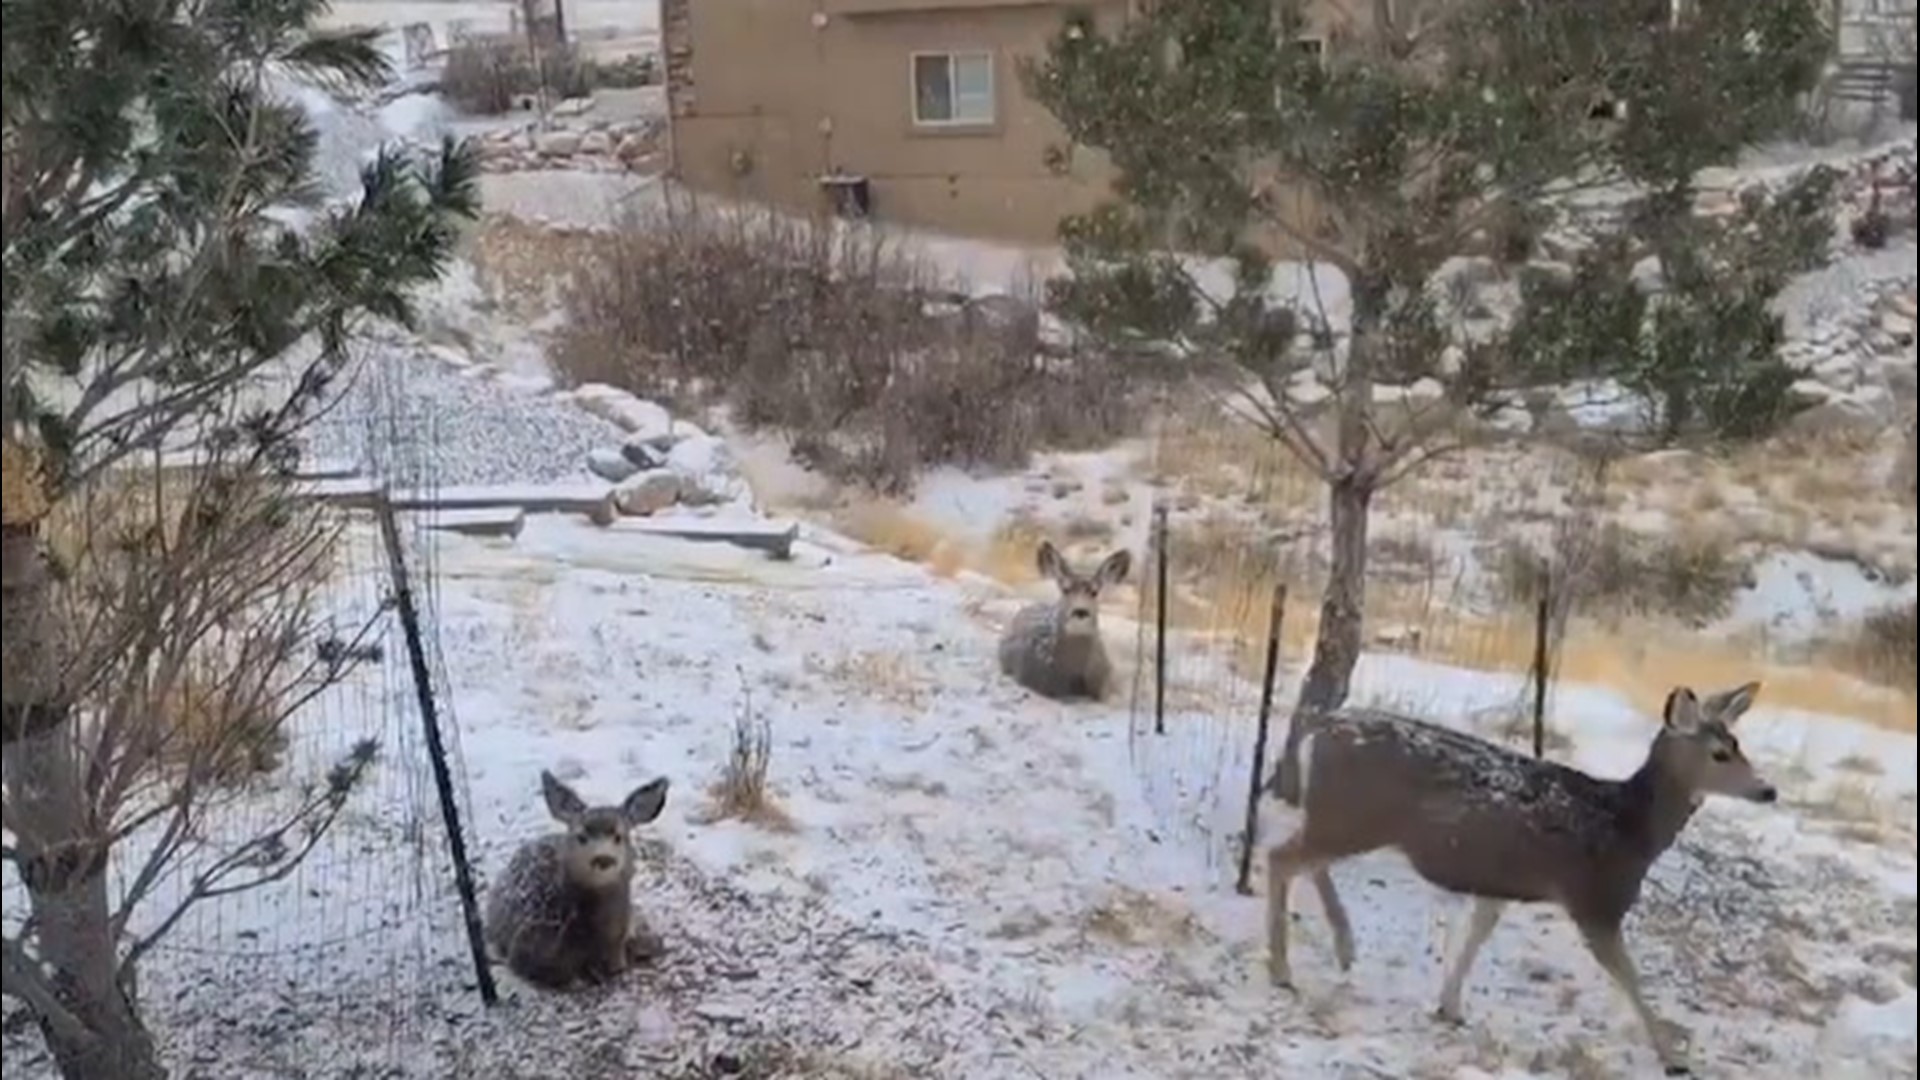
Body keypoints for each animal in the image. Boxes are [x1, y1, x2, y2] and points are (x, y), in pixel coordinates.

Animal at [1267, 676, 1774, 1068]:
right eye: (1719, 753)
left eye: (1738, 744)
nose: (1768, 791)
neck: (1629, 827)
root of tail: (1320, 729)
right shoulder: (1595, 898)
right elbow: (1629, 977)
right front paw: (1672, 1057)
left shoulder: (1499, 880)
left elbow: (1477, 934)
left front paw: (1450, 1007)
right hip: (1353, 817)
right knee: (1281, 858)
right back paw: (1283, 970)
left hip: (1343, 819)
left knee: (1305, 859)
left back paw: (1344, 948)